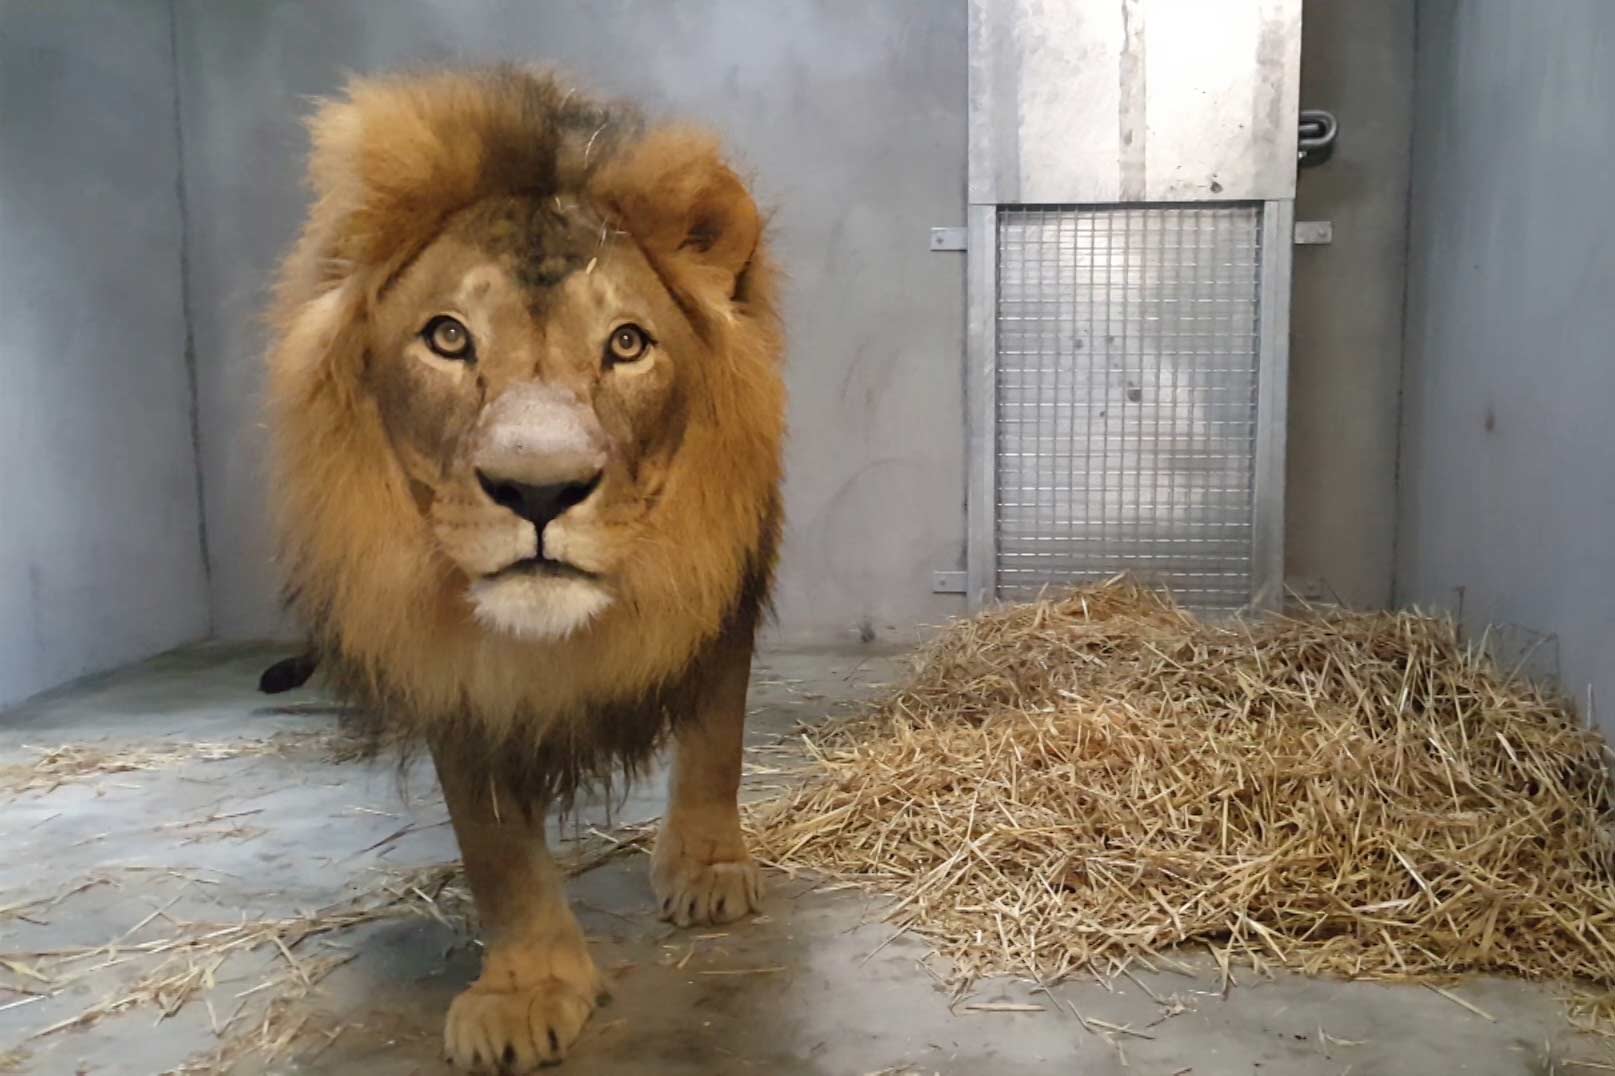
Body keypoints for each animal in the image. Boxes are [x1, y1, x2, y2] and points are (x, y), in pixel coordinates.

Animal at [263, 65, 781, 1066]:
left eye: (627, 343)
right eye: (448, 337)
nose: (538, 492)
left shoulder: (722, 589)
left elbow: (715, 739)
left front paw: (710, 870)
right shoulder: (450, 666)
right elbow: (495, 843)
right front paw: (526, 990)